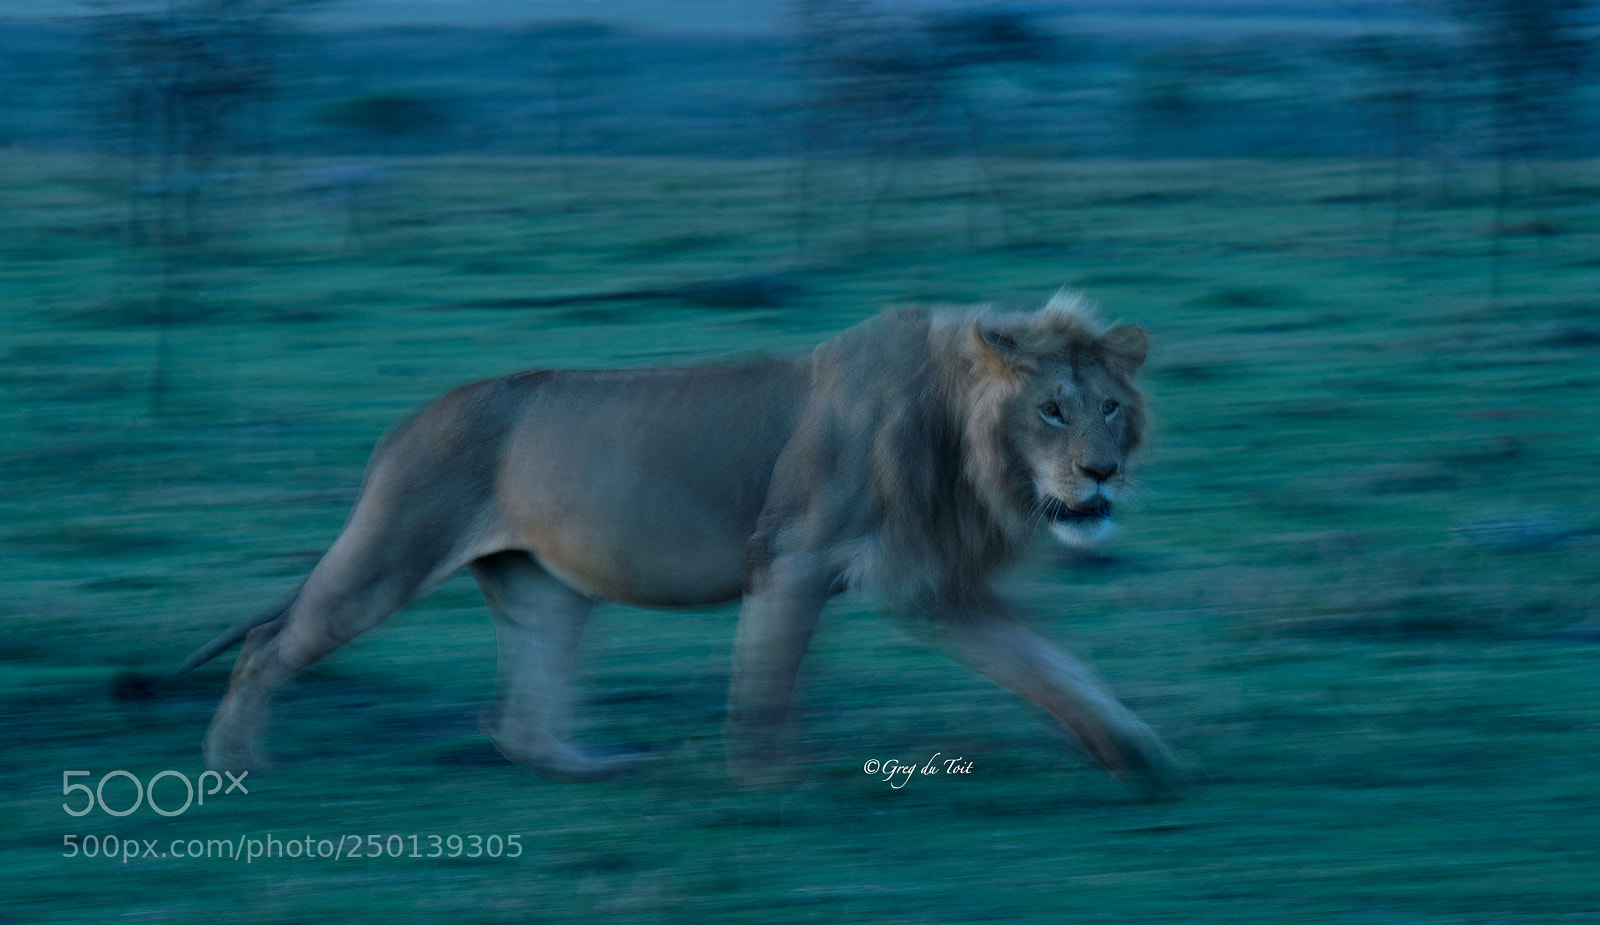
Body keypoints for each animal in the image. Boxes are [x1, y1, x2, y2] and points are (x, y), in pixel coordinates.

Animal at [146, 290, 1183, 794]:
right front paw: (765, 784)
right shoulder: (796, 558)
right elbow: (766, 684)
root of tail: (410, 421)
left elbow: (1050, 666)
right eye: (1051, 410)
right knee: (268, 642)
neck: (965, 452)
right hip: (388, 555)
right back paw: (233, 760)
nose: (1100, 475)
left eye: (1110, 408)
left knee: (520, 717)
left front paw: (1141, 756)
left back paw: (597, 766)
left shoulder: (934, 585)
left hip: (544, 585)